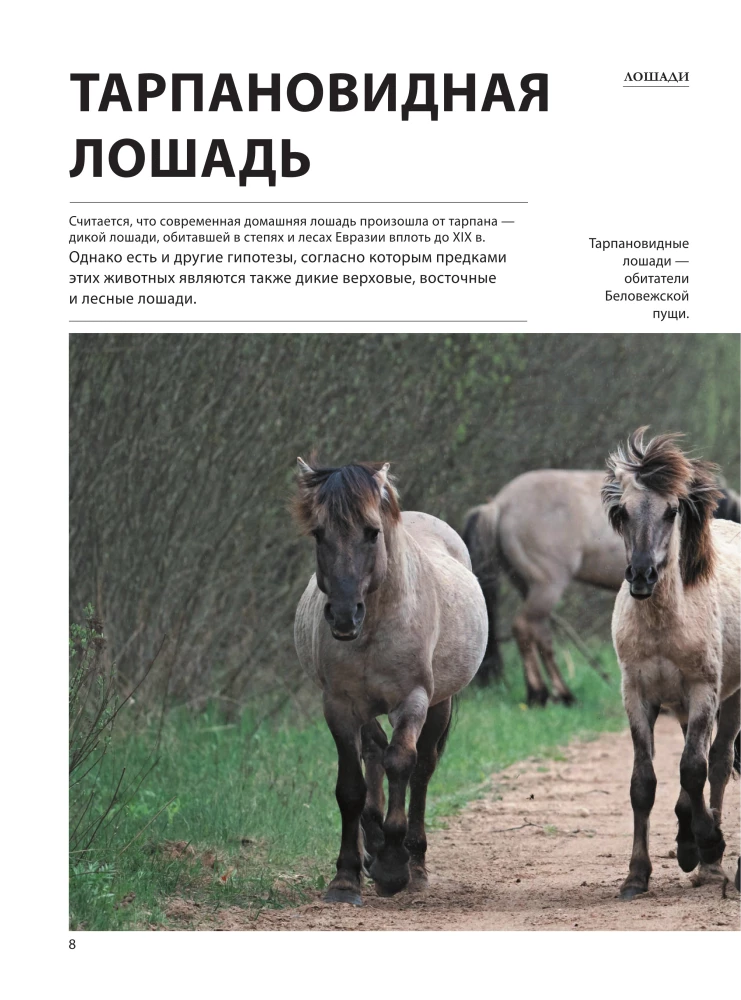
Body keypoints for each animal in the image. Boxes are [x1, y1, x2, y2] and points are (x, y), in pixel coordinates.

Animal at [293, 459, 487, 905]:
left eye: (372, 532)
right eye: (319, 533)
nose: (344, 615)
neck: (376, 625)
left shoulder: (412, 700)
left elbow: (402, 763)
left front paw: (395, 868)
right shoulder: (340, 706)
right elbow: (351, 787)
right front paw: (346, 877)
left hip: (439, 703)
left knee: (420, 768)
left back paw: (413, 862)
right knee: (374, 752)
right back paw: (374, 845)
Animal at [602, 428, 741, 899]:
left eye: (672, 510)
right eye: (622, 511)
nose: (642, 575)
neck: (664, 626)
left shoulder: (703, 691)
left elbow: (694, 770)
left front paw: (711, 843)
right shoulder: (637, 696)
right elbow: (643, 783)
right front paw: (635, 875)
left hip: (728, 699)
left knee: (717, 762)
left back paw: (709, 863)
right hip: (680, 706)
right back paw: (688, 845)